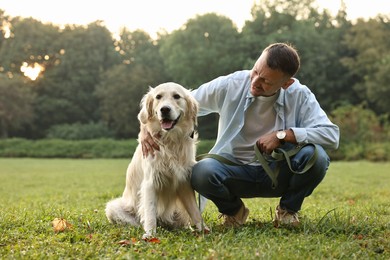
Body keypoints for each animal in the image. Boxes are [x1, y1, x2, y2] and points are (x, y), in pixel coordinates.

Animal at [103, 82, 207, 239]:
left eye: (177, 96)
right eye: (158, 97)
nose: (165, 109)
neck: (170, 141)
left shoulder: (183, 180)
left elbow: (194, 210)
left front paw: (203, 230)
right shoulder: (150, 182)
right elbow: (150, 213)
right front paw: (150, 235)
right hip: (113, 207)